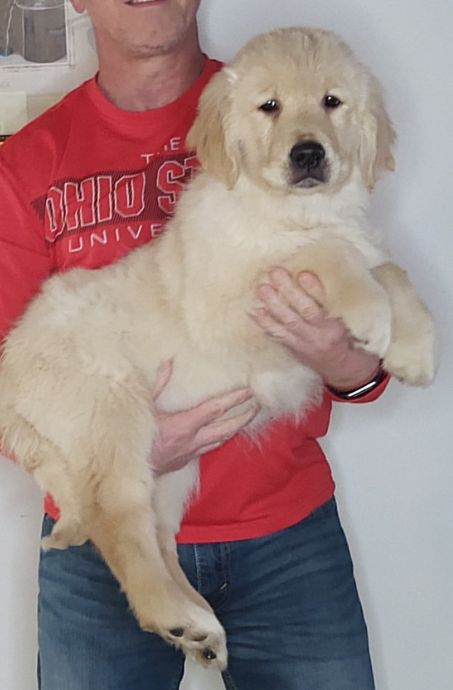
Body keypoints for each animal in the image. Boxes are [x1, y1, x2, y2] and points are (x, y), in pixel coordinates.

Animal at [0, 26, 434, 668]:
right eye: (269, 106)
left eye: (332, 102)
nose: (308, 155)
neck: (293, 210)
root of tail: (12, 366)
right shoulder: (230, 304)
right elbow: (327, 254)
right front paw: (370, 313)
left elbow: (389, 267)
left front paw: (417, 348)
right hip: (115, 415)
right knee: (117, 523)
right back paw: (173, 614)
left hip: (172, 468)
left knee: (157, 534)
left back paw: (198, 625)